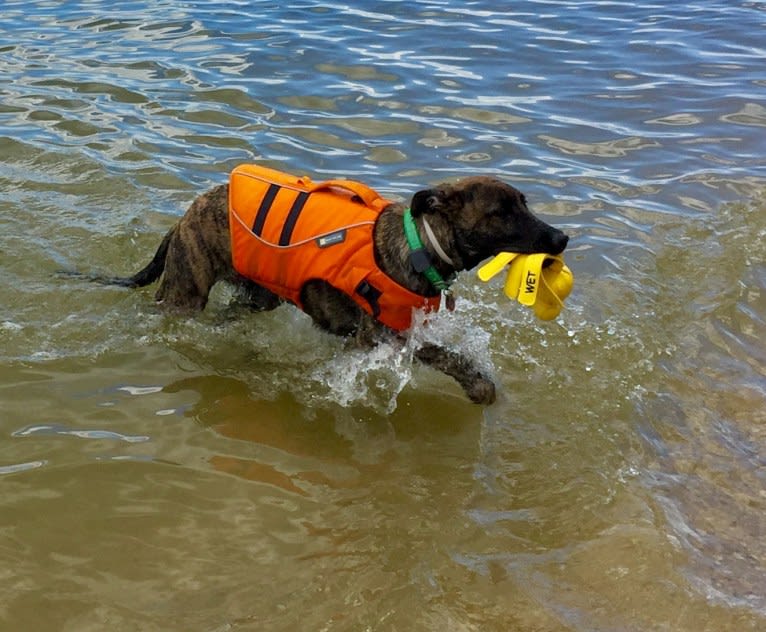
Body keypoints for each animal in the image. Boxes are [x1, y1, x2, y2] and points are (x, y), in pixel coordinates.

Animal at [96, 175, 568, 408]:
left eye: (524, 203)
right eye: (500, 211)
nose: (561, 238)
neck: (420, 243)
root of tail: (184, 217)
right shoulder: (383, 336)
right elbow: (447, 355)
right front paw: (479, 386)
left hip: (257, 297)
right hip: (185, 294)